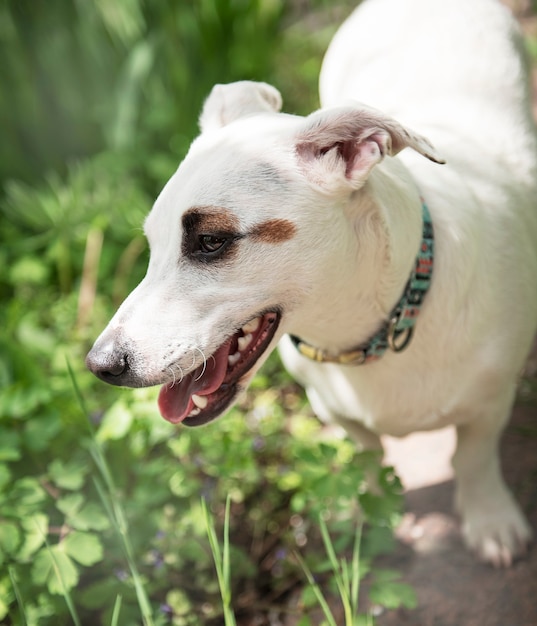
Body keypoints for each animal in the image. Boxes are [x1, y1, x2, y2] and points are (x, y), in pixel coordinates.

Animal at [87, 0, 536, 564]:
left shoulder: (491, 400)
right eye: (152, 243)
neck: (381, 325)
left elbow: (474, 457)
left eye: (210, 241)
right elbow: (368, 456)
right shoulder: (333, 408)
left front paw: (490, 518)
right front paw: (370, 513)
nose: (99, 365)